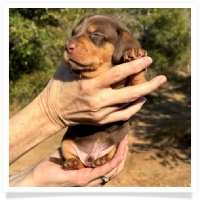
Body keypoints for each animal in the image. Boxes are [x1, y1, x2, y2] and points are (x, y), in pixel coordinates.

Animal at [50, 14, 147, 170]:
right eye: (74, 33)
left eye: (95, 34)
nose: (67, 46)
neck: (102, 72)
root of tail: (90, 157)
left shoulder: (134, 91)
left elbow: (138, 79)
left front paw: (135, 54)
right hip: (66, 141)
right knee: (73, 159)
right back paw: (72, 162)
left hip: (118, 139)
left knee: (110, 151)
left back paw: (102, 159)